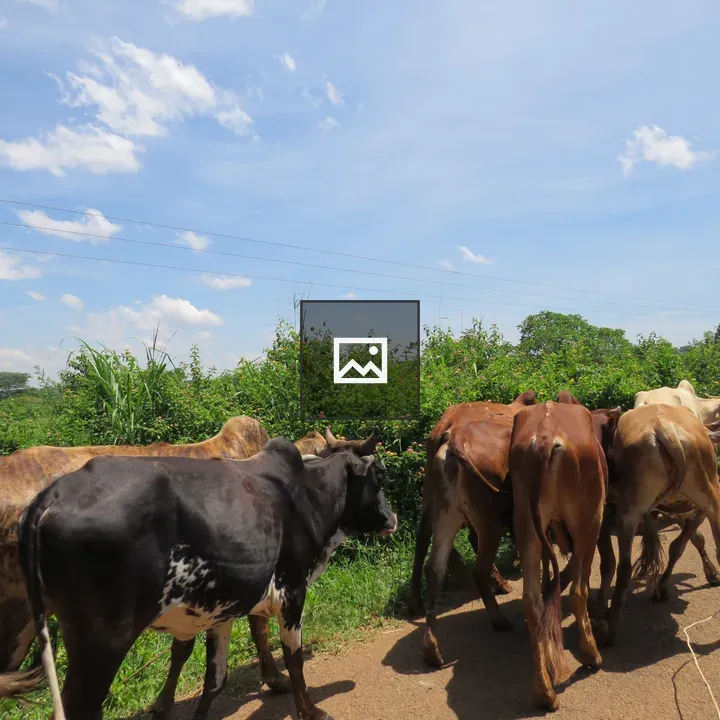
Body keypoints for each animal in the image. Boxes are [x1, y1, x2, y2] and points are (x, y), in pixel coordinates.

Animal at [0, 419, 379, 710]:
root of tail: (45, 502)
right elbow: (259, 631)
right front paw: (275, 680)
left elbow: (184, 650)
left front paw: (162, 704)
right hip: (42, 625)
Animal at [414, 390, 538, 668]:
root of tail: (451, 436)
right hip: (489, 520)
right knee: (478, 566)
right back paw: (498, 615)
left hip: (442, 509)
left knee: (430, 559)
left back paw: (429, 644)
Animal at [509, 392, 617, 712]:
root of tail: (545, 438)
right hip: (589, 521)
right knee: (578, 591)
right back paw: (591, 653)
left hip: (526, 526)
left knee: (531, 601)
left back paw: (544, 692)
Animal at [596, 404, 720, 647]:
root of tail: (665, 429)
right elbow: (685, 543)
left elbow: (686, 542)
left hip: (632, 511)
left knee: (622, 567)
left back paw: (610, 626)